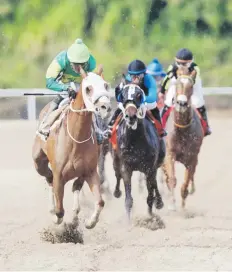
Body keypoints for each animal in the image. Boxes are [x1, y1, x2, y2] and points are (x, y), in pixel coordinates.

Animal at [31, 66, 110, 230]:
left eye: (106, 85)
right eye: (88, 88)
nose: (104, 107)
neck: (76, 139)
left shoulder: (90, 172)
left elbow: (100, 202)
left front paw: (89, 222)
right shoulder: (59, 175)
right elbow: (59, 211)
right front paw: (56, 219)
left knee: (75, 186)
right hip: (38, 162)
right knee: (48, 178)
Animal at [109, 84, 164, 220]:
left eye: (139, 95)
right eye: (123, 96)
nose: (131, 116)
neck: (135, 139)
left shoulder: (149, 167)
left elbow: (150, 195)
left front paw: (150, 218)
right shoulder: (126, 167)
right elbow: (128, 200)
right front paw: (129, 223)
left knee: (154, 182)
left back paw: (159, 202)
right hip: (115, 161)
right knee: (117, 175)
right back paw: (117, 192)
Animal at [160, 66, 204, 210]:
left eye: (190, 86)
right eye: (176, 84)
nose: (182, 103)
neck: (182, 130)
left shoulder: (192, 157)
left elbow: (185, 185)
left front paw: (183, 208)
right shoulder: (169, 154)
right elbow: (172, 179)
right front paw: (172, 205)